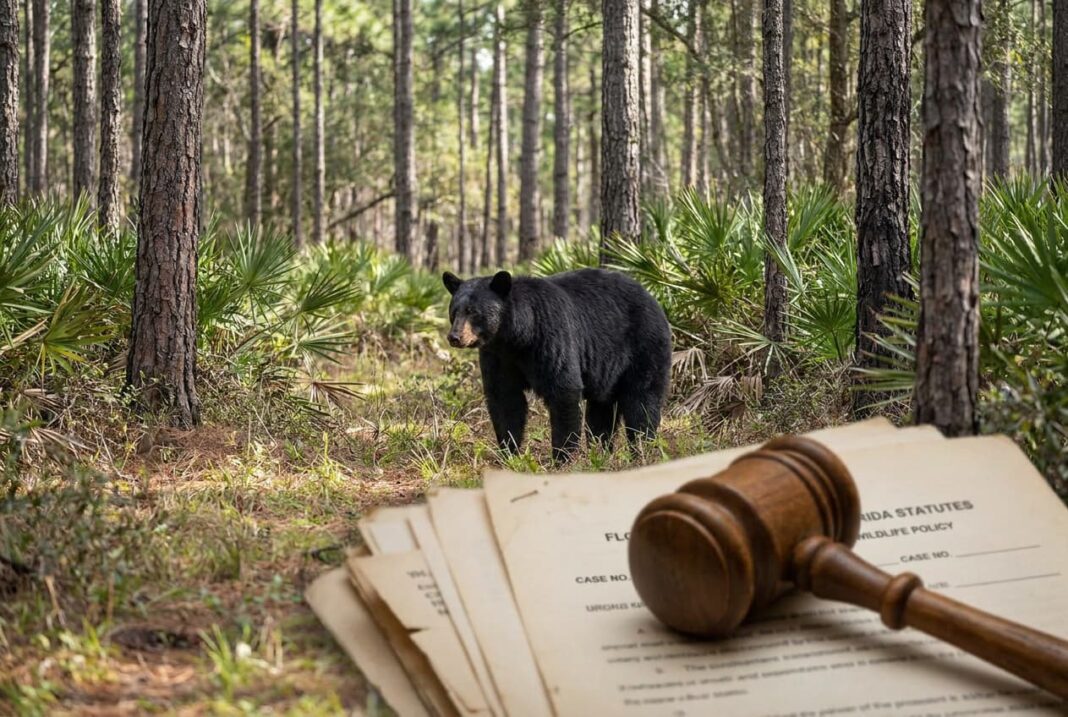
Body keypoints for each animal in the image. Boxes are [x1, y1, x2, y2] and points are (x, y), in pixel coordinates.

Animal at [442, 267, 672, 462]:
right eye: (454, 311)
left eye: (473, 311)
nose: (454, 337)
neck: (515, 338)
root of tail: (653, 298)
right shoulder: (498, 357)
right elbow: (504, 399)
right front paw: (508, 453)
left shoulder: (550, 338)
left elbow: (563, 391)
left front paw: (563, 457)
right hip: (608, 371)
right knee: (601, 411)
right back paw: (600, 452)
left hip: (644, 346)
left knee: (642, 401)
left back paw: (642, 450)